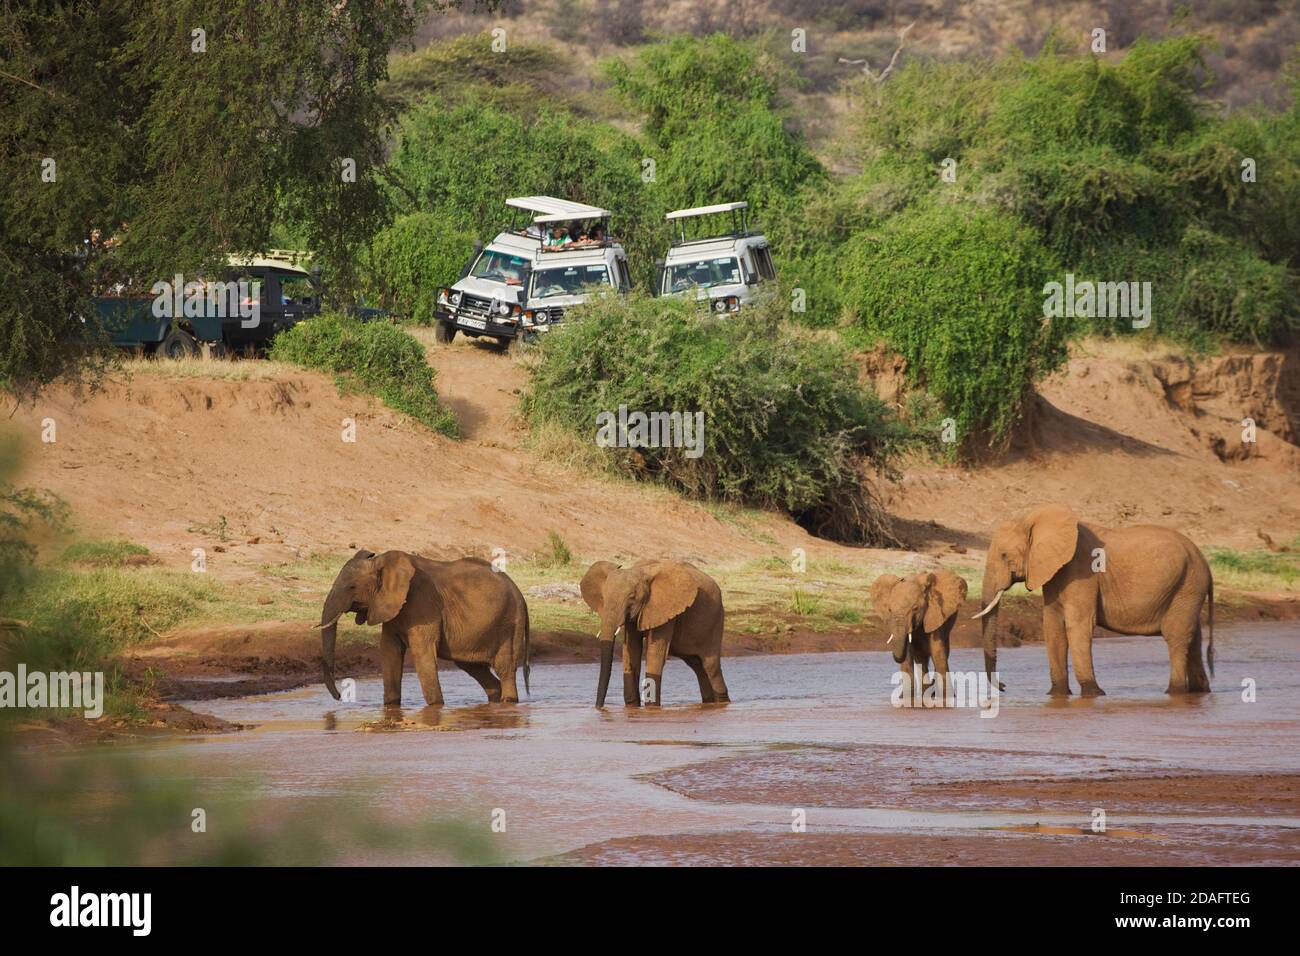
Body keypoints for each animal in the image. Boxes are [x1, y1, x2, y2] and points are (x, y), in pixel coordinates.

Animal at [315, 548, 527, 707]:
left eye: (351, 587)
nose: (340, 697)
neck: (382, 563)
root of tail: (518, 590)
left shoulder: (422, 604)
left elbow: (422, 652)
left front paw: (436, 707)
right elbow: (389, 651)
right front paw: (391, 706)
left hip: (509, 624)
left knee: (504, 668)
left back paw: (508, 702)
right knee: (473, 667)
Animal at [582, 556, 733, 707]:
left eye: (631, 597)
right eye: (603, 597)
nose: (598, 707)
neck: (640, 572)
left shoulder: (665, 609)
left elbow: (654, 654)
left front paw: (651, 708)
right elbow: (631, 650)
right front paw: (632, 707)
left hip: (715, 620)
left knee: (710, 666)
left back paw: (722, 703)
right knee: (697, 665)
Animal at [868, 567, 972, 702]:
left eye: (915, 608)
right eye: (889, 610)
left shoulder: (935, 612)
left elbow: (937, 652)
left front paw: (947, 698)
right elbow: (907, 656)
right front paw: (905, 699)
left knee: (942, 652)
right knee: (921, 658)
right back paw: (925, 694)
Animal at [977, 504, 1216, 697]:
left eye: (1004, 556)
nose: (1004, 687)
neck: (1031, 519)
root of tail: (1204, 561)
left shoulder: (1081, 570)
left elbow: (1078, 625)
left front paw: (1094, 694)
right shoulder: (1056, 573)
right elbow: (1052, 626)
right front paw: (1057, 694)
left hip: (1188, 584)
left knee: (1176, 636)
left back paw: (1174, 692)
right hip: (1188, 586)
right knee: (1193, 636)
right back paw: (1199, 691)